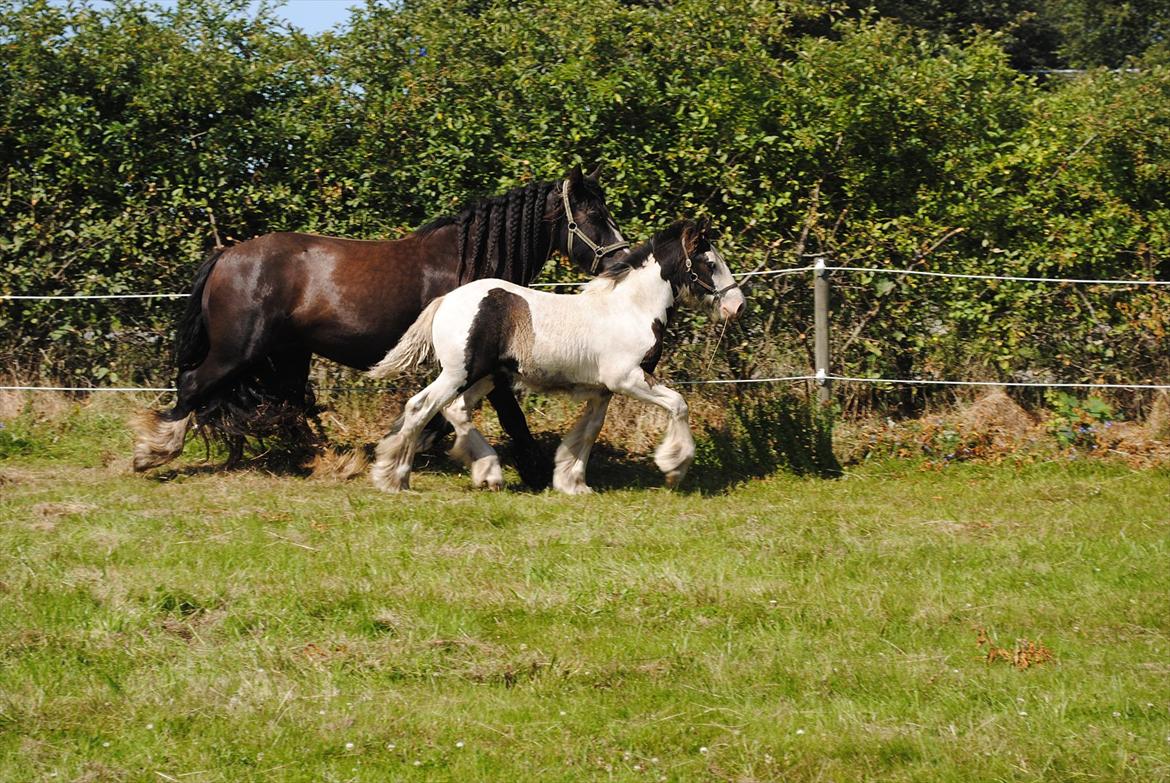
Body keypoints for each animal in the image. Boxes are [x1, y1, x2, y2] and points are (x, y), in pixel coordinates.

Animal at [132, 166, 631, 484]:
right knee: (193, 385)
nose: (622, 262)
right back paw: (153, 453)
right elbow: (508, 415)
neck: (470, 264)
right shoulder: (482, 360)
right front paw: (529, 470)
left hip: (288, 355)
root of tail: (225, 256)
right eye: (593, 216)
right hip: (238, 350)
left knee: (288, 406)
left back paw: (331, 461)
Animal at [369, 216, 744, 491]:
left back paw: (487, 473)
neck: (631, 309)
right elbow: (679, 404)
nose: (736, 305)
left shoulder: (602, 390)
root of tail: (446, 299)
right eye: (710, 263)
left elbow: (589, 432)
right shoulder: (628, 379)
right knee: (420, 407)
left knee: (456, 410)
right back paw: (394, 478)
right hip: (459, 373)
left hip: (485, 376)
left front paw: (572, 482)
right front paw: (674, 466)